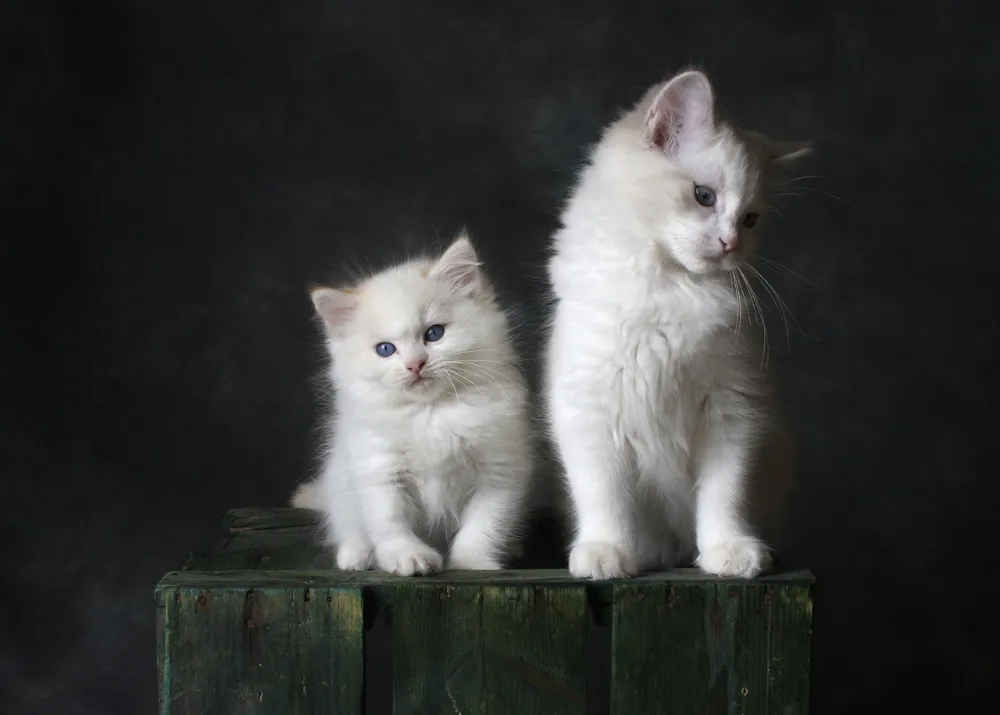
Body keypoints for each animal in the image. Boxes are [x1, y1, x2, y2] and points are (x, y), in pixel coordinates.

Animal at [292, 235, 536, 576]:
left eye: (434, 333)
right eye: (385, 349)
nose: (415, 365)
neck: (430, 413)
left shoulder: (499, 469)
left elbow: (484, 525)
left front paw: (471, 562)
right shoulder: (379, 468)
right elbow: (390, 521)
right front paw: (407, 557)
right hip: (340, 481)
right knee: (348, 526)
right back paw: (355, 555)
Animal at [544, 67, 808, 580]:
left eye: (750, 220)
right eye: (703, 197)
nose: (730, 244)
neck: (670, 287)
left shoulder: (733, 411)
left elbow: (725, 497)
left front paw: (729, 551)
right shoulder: (589, 409)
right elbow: (604, 496)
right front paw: (607, 551)